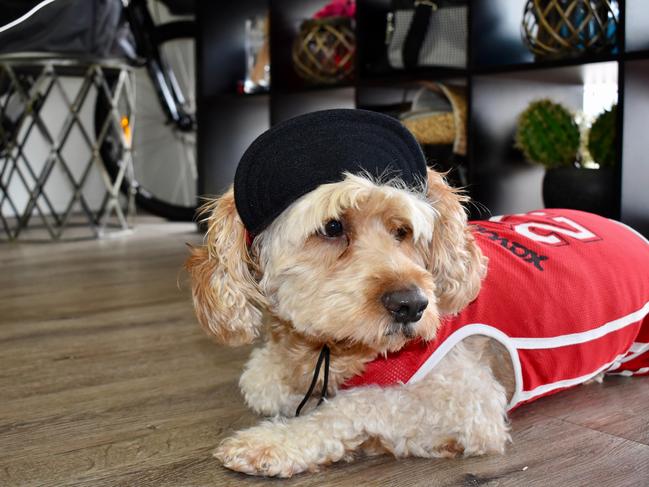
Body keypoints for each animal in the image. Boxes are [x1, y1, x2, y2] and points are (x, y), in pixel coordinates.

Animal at [184, 108, 648, 478]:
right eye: (333, 227)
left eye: (403, 230)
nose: (412, 305)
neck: (334, 350)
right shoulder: (269, 372)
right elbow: (266, 385)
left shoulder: (470, 403)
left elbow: (358, 404)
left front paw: (276, 442)